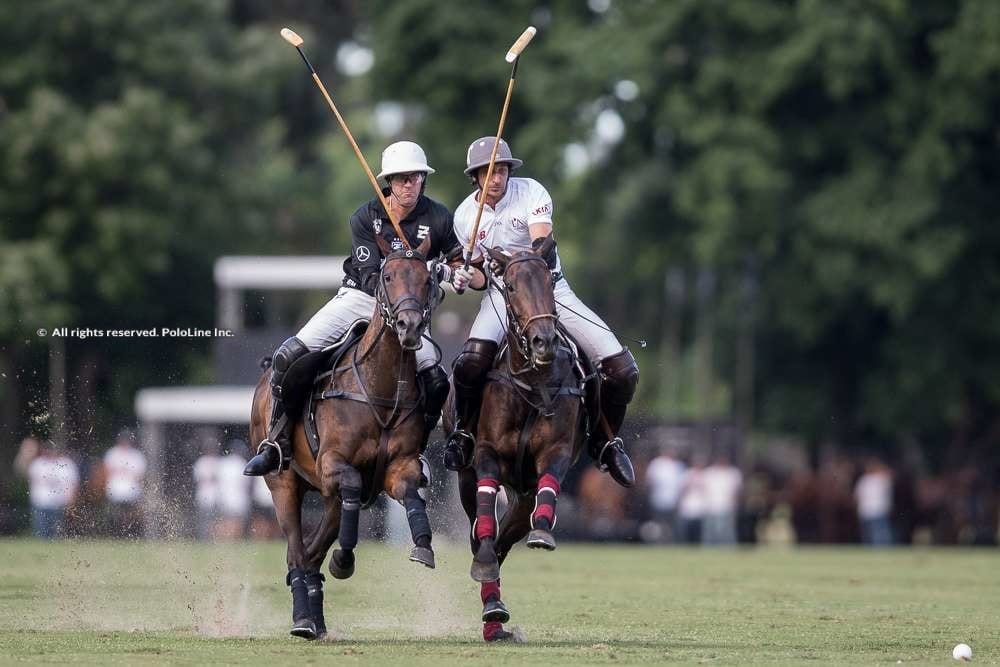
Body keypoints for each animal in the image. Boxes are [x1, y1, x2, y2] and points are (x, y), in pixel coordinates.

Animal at [250, 237, 442, 640]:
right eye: (387, 275)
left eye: (427, 279)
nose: (410, 326)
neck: (380, 388)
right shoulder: (332, 463)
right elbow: (351, 481)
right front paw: (345, 558)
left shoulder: (398, 466)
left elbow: (410, 492)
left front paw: (423, 545)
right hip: (283, 483)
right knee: (297, 548)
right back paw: (303, 620)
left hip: (327, 497)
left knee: (310, 552)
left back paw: (316, 616)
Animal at [450, 237, 588, 644]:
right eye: (509, 286)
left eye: (550, 284)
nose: (543, 342)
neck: (531, 379)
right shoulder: (487, 454)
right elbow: (484, 520)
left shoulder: (556, 452)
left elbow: (550, 483)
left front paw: (543, 530)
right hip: (465, 478)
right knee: (482, 535)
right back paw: (492, 607)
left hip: (522, 493)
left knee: (506, 540)